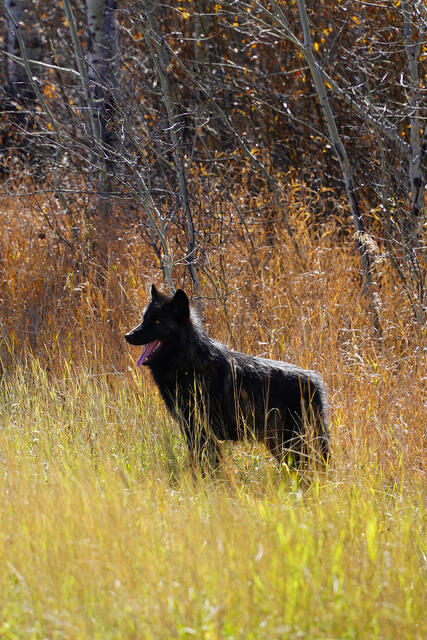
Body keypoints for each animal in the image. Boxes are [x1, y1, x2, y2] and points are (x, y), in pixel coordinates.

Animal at [125, 285, 329, 469]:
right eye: (144, 319)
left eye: (157, 322)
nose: (127, 335)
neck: (188, 364)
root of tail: (315, 380)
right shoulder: (193, 430)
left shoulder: (202, 432)